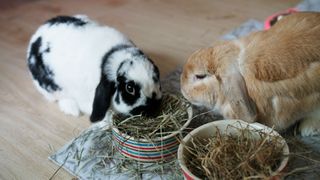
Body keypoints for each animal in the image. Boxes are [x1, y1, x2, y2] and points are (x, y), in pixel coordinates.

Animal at [26, 14, 162, 124]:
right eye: (130, 88)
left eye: (156, 74)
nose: (154, 109)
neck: (110, 56)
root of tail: (36, 36)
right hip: (50, 89)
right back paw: (71, 109)